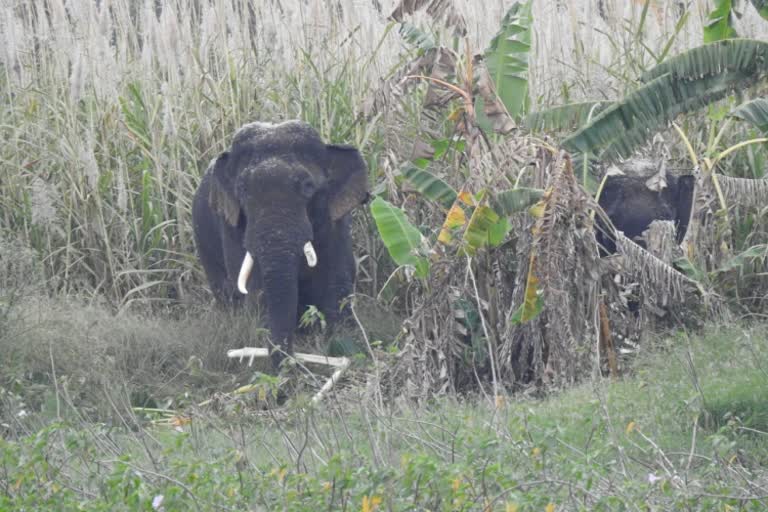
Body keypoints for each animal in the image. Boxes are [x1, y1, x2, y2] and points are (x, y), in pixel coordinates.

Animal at [194, 120, 370, 368]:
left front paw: (345, 344)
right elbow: (256, 287)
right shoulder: (230, 222)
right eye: (243, 190)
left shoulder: (335, 220)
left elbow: (336, 279)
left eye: (308, 187)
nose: (290, 365)